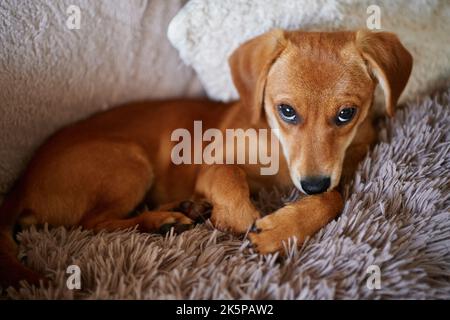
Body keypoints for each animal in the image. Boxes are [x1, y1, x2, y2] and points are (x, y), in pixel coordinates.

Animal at [0, 29, 412, 288]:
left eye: (346, 114)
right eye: (286, 111)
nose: (311, 183)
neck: (278, 154)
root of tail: (20, 183)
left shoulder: (339, 170)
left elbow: (334, 198)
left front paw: (282, 229)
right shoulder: (216, 160)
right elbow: (232, 183)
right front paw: (243, 221)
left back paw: (180, 211)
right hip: (130, 162)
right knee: (93, 223)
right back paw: (162, 221)